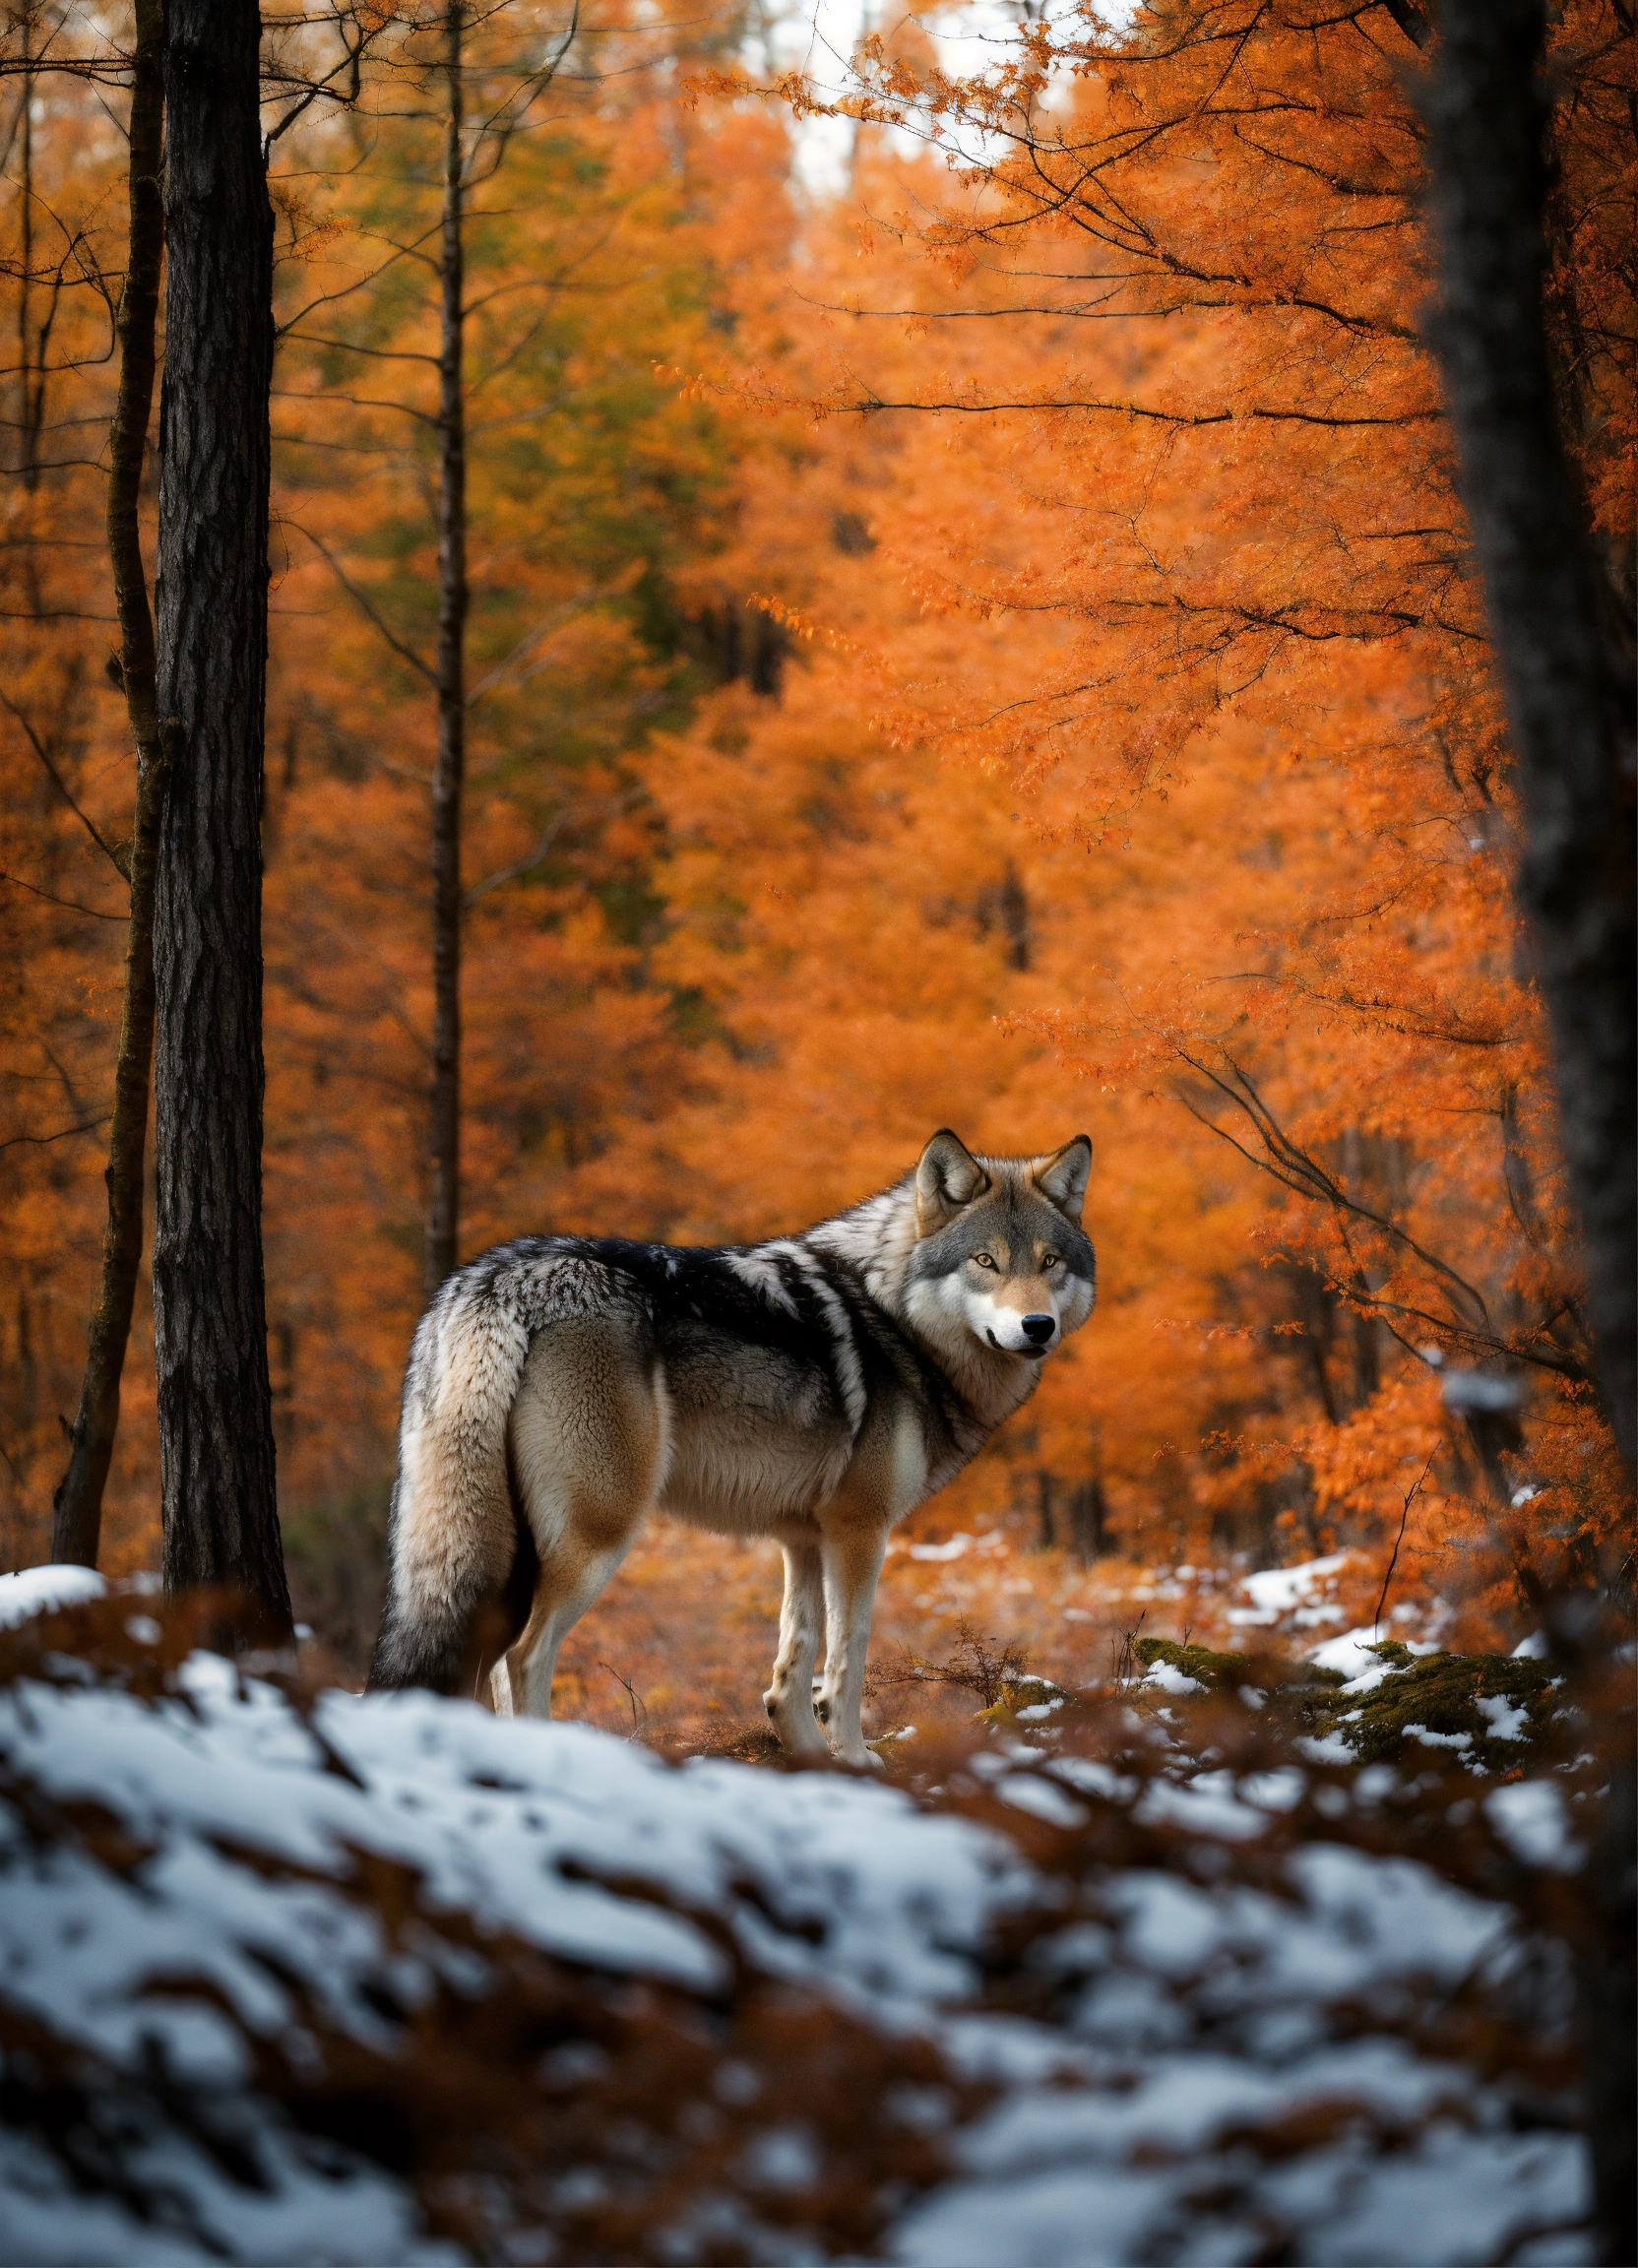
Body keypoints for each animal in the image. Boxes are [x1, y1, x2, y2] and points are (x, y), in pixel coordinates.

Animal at [366, 1129, 1095, 1765]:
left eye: (1049, 1262)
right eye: (985, 1262)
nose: (1037, 1326)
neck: (894, 1316)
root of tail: (495, 1282)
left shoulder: (803, 1536)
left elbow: (794, 1663)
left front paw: (809, 1757)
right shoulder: (859, 1529)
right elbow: (848, 1658)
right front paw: (857, 1758)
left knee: (489, 1659)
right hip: (599, 1534)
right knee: (521, 1659)